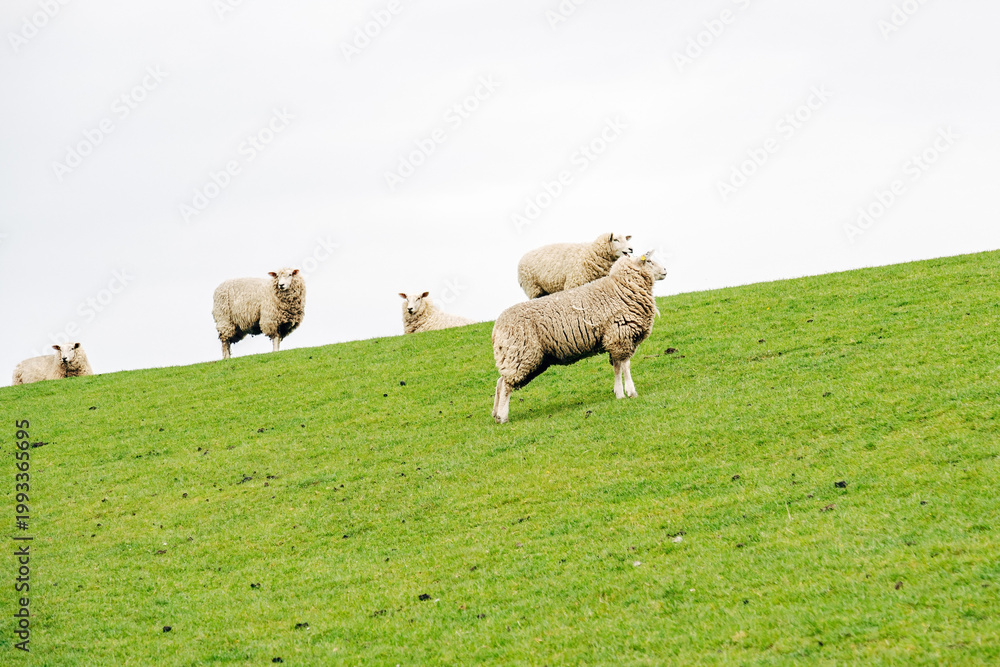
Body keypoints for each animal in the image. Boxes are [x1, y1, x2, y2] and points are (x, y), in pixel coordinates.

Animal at [492, 250, 666, 423]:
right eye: (649, 261)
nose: (665, 270)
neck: (620, 288)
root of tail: (496, 329)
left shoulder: (613, 339)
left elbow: (617, 368)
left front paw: (619, 393)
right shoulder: (621, 336)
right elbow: (625, 366)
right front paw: (631, 392)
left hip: (517, 357)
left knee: (500, 381)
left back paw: (495, 414)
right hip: (520, 354)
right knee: (506, 385)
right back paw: (503, 416)